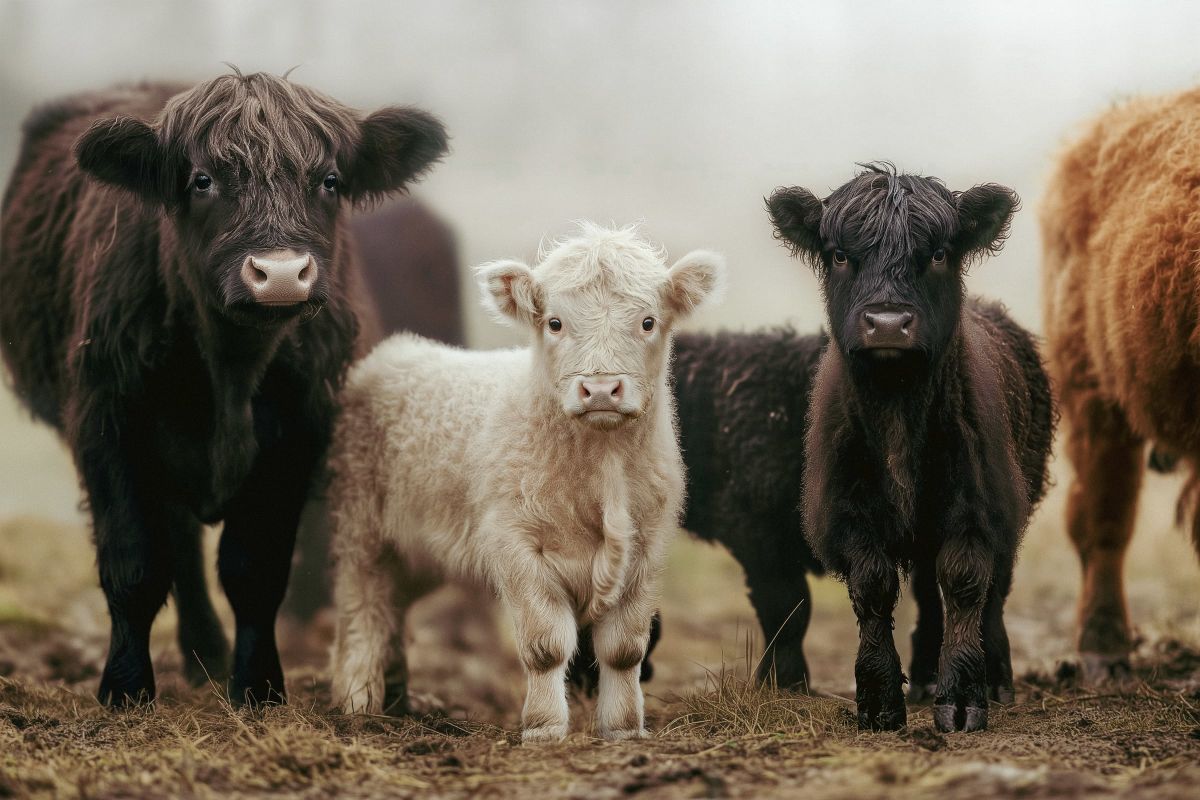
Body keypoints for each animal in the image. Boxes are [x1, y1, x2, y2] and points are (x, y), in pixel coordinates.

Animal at [0, 70, 448, 707]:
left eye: (330, 180)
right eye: (203, 180)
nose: (280, 275)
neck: (231, 367)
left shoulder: (298, 432)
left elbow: (254, 570)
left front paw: (258, 687)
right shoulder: (106, 421)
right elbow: (134, 562)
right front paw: (126, 686)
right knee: (179, 546)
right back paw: (201, 652)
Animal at [327, 224, 724, 741]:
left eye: (648, 322)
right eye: (554, 323)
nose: (600, 389)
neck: (602, 468)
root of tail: (396, 352)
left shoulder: (648, 547)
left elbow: (624, 650)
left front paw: (622, 728)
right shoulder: (514, 543)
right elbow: (546, 646)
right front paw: (544, 727)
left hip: (417, 552)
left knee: (392, 610)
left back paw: (395, 700)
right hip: (361, 528)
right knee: (362, 611)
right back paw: (357, 701)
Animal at [767, 163, 1054, 732]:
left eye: (939, 253)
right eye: (840, 254)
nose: (887, 323)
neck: (897, 400)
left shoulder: (977, 506)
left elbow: (965, 584)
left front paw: (963, 697)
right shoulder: (849, 512)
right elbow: (874, 590)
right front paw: (879, 698)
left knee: (992, 593)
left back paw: (996, 677)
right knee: (926, 592)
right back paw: (922, 675)